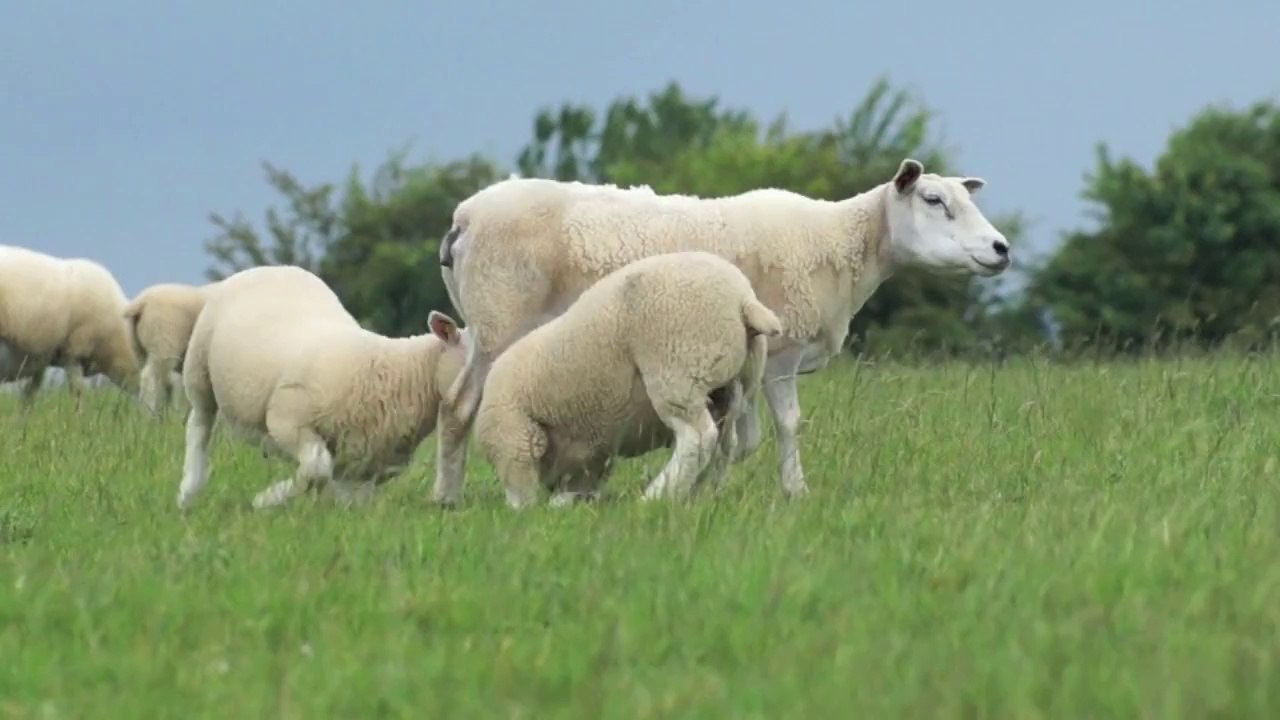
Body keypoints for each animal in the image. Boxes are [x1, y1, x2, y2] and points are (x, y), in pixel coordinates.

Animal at [176, 264, 470, 511]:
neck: (403, 373)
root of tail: (271, 267)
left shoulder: (366, 465)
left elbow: (346, 496)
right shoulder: (288, 421)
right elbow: (317, 469)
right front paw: (268, 499)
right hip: (199, 369)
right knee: (199, 426)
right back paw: (189, 491)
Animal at [474, 251, 782, 509]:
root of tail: (744, 301)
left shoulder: (512, 430)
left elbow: (519, 483)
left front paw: (528, 512)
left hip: (678, 369)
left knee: (697, 437)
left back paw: (654, 497)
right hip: (733, 384)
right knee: (724, 444)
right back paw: (698, 495)